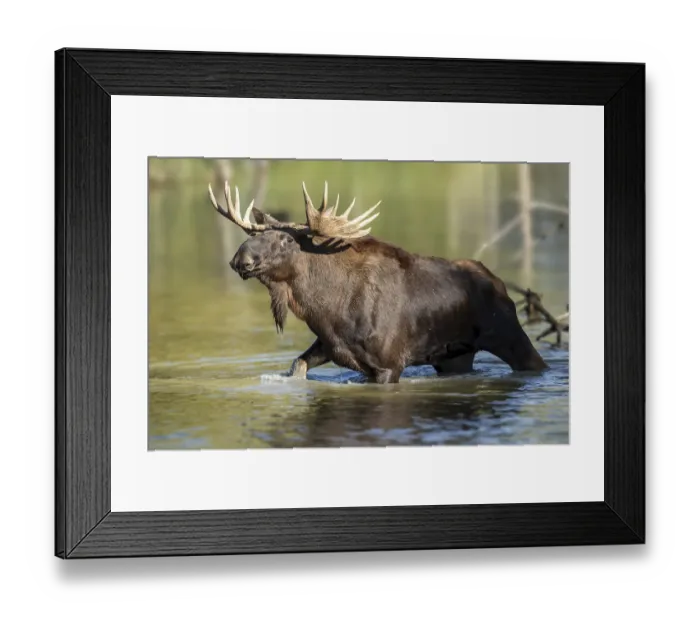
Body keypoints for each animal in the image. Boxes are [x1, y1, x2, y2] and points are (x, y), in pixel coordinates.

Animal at [208, 180, 548, 384]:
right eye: (256, 235)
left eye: (285, 240)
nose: (240, 260)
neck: (326, 310)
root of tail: (500, 284)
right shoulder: (330, 346)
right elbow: (297, 366)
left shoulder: (389, 364)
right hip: (455, 358)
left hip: (510, 336)